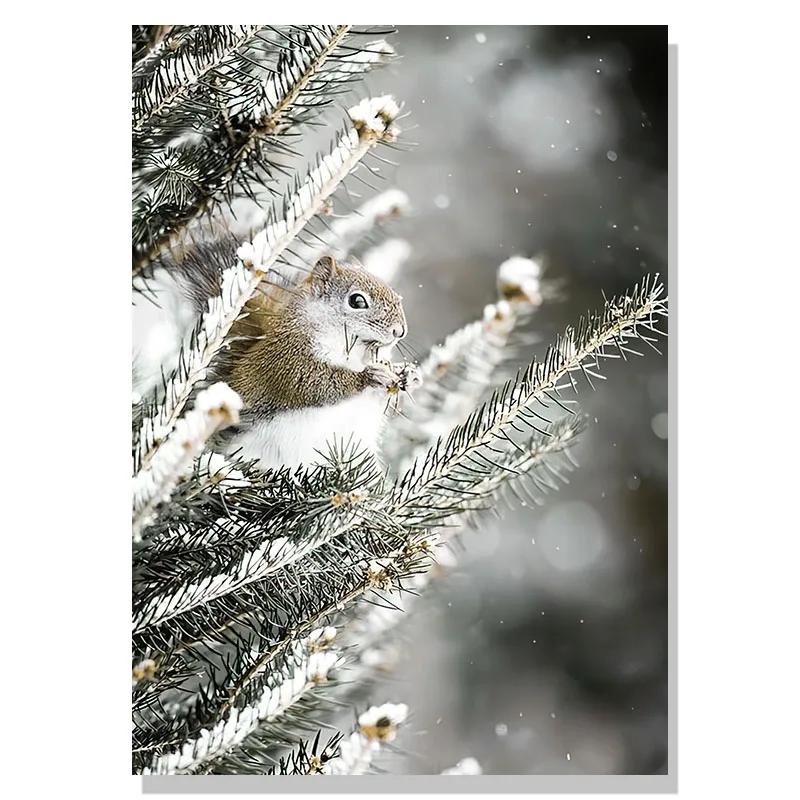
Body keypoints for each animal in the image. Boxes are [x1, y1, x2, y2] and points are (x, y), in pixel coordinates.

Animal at [214, 254, 420, 471]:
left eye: (397, 297)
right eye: (357, 301)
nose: (400, 331)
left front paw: (410, 375)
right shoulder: (290, 359)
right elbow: (317, 383)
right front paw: (370, 376)